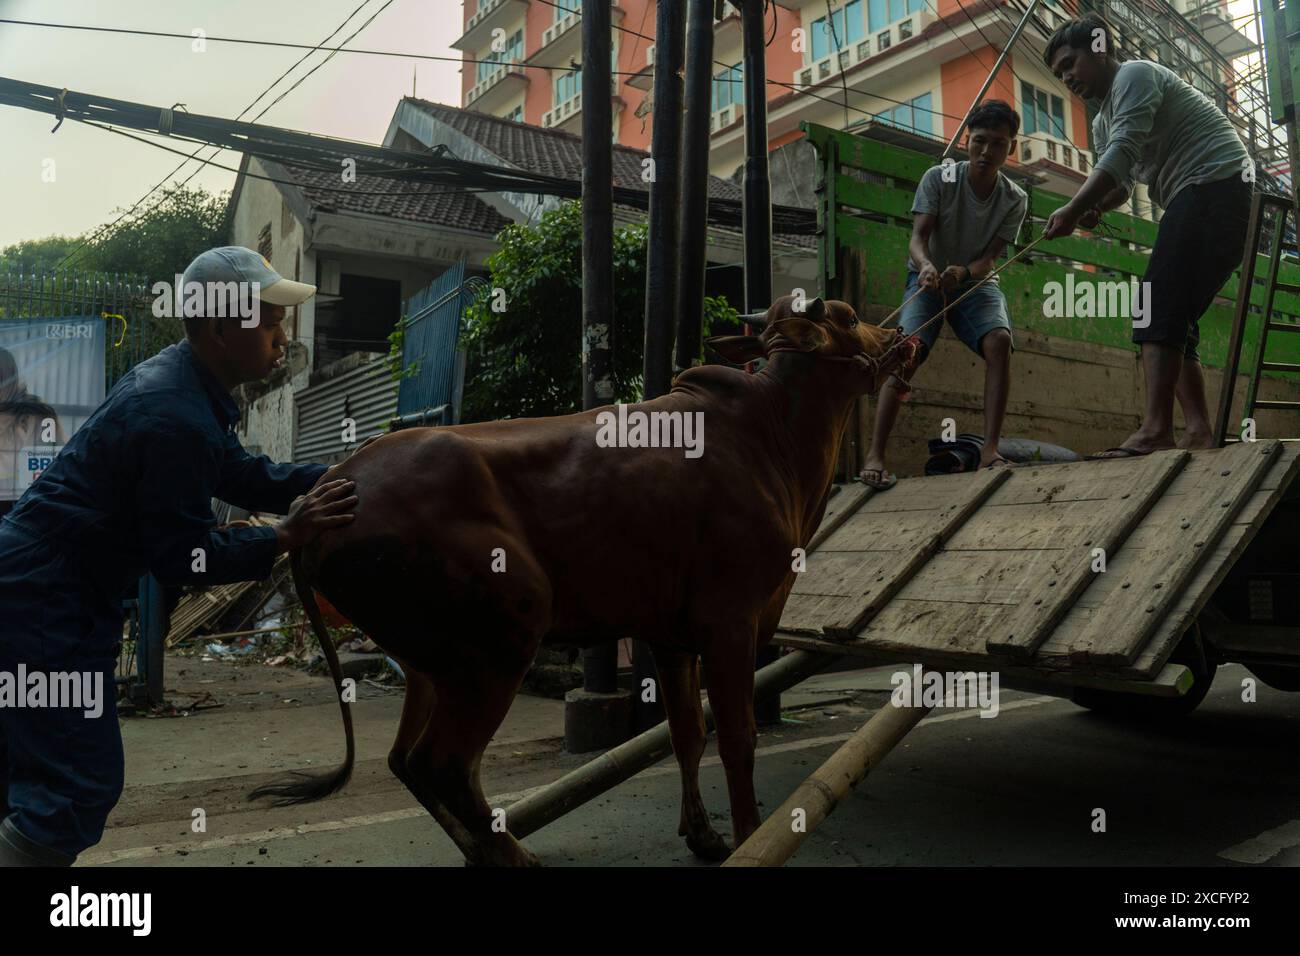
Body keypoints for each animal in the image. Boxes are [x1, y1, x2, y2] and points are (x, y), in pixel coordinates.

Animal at [250, 295, 904, 863]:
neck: (777, 439)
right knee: (445, 764)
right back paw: (514, 858)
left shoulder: (669, 634)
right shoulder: (731, 622)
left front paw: (704, 836)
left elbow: (687, 735)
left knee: (407, 761)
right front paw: (747, 837)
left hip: (430, 663)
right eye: (847, 316)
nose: (901, 334)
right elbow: (737, 740)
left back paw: (487, 851)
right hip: (503, 634)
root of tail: (326, 495)